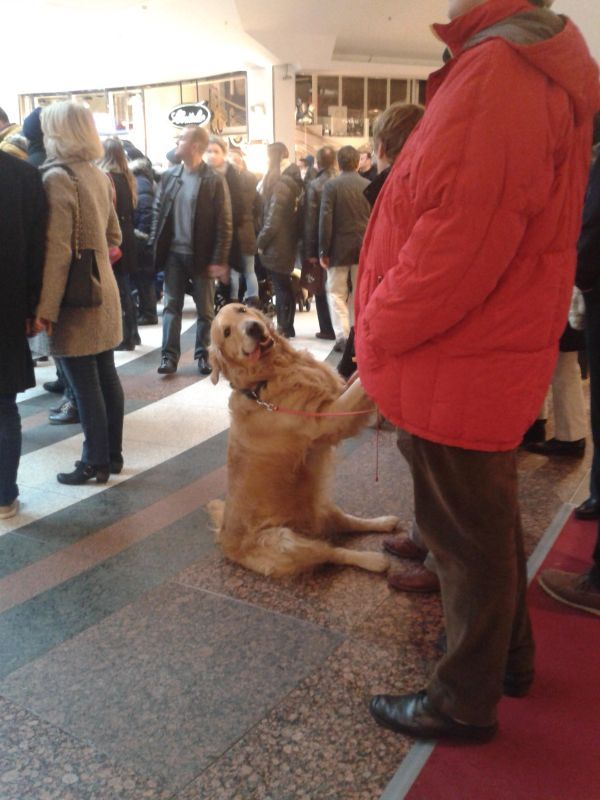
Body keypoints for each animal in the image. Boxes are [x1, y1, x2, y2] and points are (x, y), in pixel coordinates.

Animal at [206, 304, 398, 580]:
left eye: (241, 310)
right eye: (227, 332)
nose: (252, 328)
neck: (267, 378)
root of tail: (224, 540)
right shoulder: (330, 419)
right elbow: (358, 386)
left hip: (322, 506)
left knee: (349, 523)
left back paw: (384, 522)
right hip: (286, 541)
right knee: (332, 552)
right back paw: (374, 560)